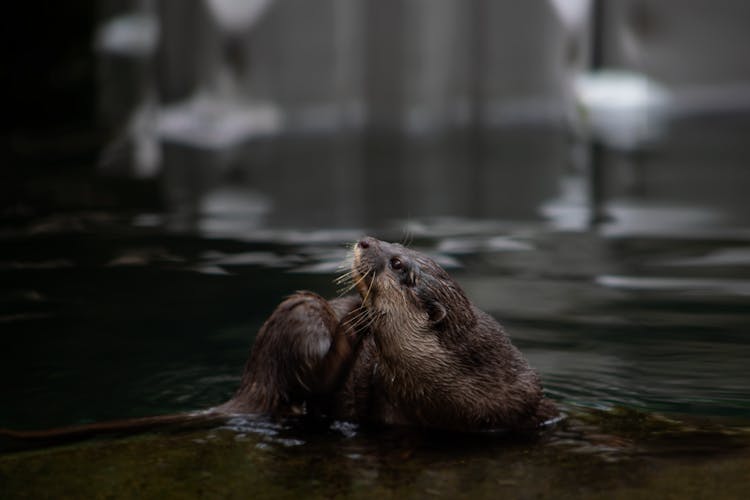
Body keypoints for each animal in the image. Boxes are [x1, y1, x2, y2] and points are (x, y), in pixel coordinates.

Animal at [1, 236, 560, 452]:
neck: (456, 389)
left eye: (399, 263)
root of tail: (253, 378)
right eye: (395, 247)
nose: (365, 241)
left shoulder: (524, 398)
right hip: (298, 319)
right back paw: (348, 322)